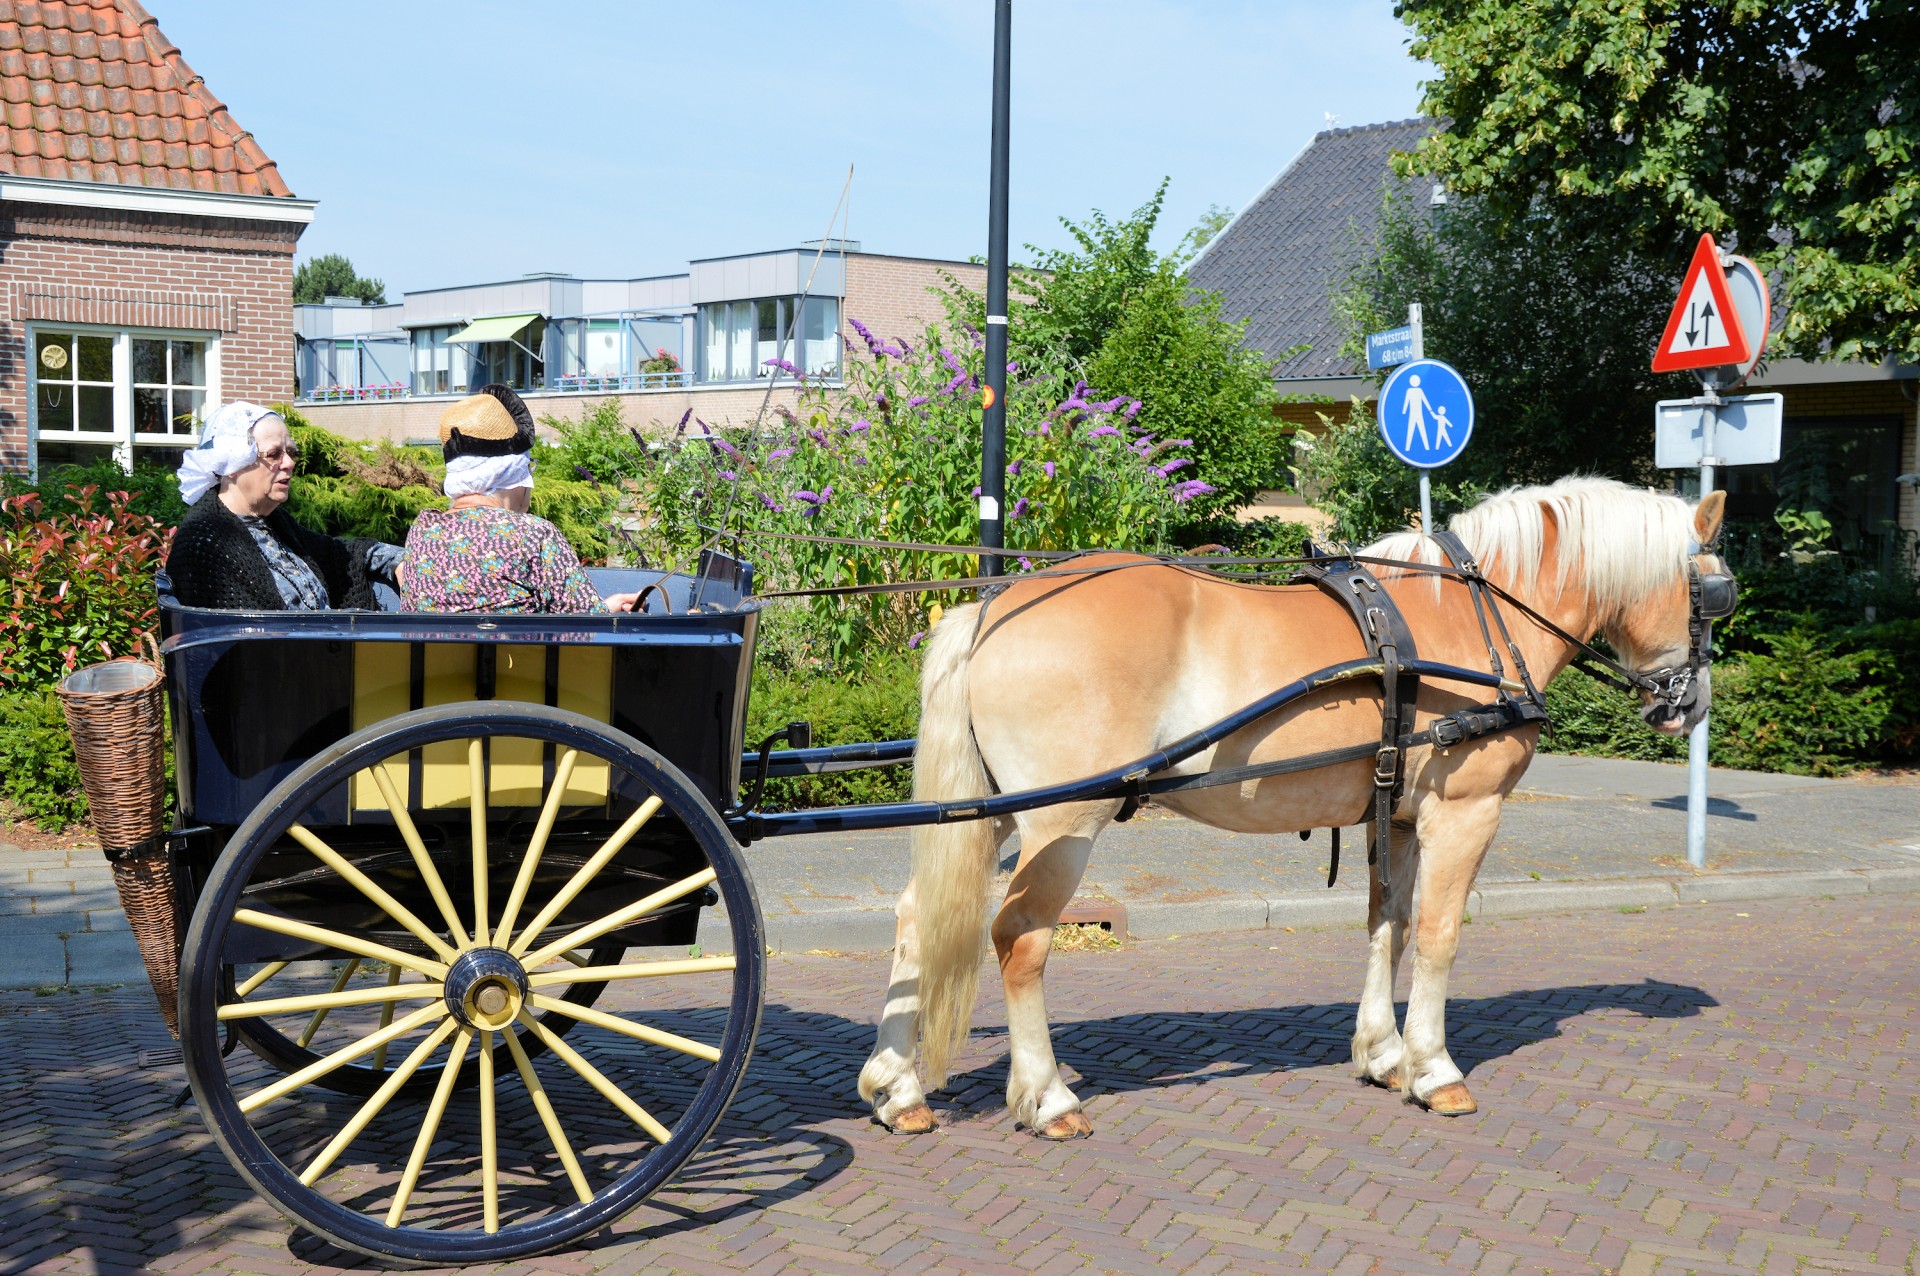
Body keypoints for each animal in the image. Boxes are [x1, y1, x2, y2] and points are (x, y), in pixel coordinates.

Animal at [864, 477, 1735, 1135]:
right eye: (1713, 595)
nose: (1690, 706)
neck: (1478, 615)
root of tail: (991, 607)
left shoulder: (1399, 816)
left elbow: (1391, 924)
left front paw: (1383, 1054)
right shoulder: (1465, 811)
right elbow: (1442, 935)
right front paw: (1435, 1070)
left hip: (997, 811)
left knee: (917, 916)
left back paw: (896, 1088)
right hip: (1063, 820)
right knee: (1020, 939)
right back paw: (1046, 1098)